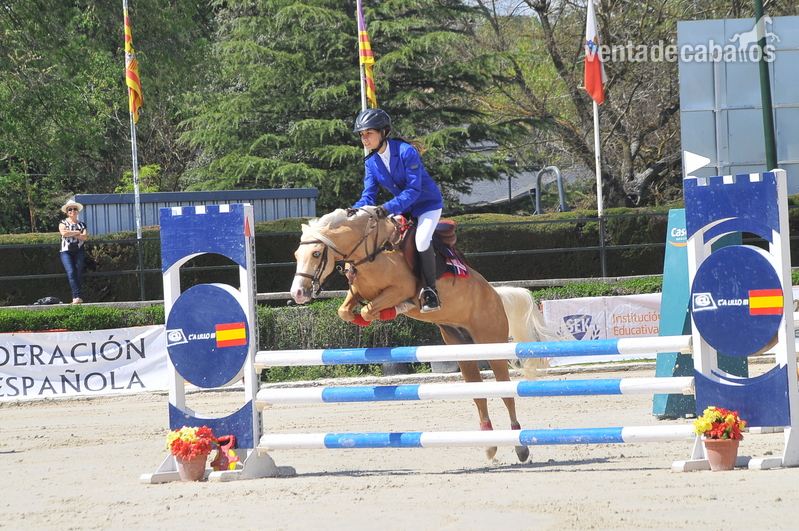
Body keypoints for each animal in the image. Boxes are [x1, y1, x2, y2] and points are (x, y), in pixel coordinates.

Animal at [289, 206, 562, 461]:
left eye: (316, 254)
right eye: (296, 255)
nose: (298, 294)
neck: (370, 251)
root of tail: (496, 296)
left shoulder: (400, 289)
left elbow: (369, 310)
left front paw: (388, 312)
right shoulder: (358, 292)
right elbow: (345, 311)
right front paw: (365, 317)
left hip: (491, 344)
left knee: (505, 393)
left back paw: (520, 446)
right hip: (463, 350)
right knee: (478, 395)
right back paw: (489, 444)